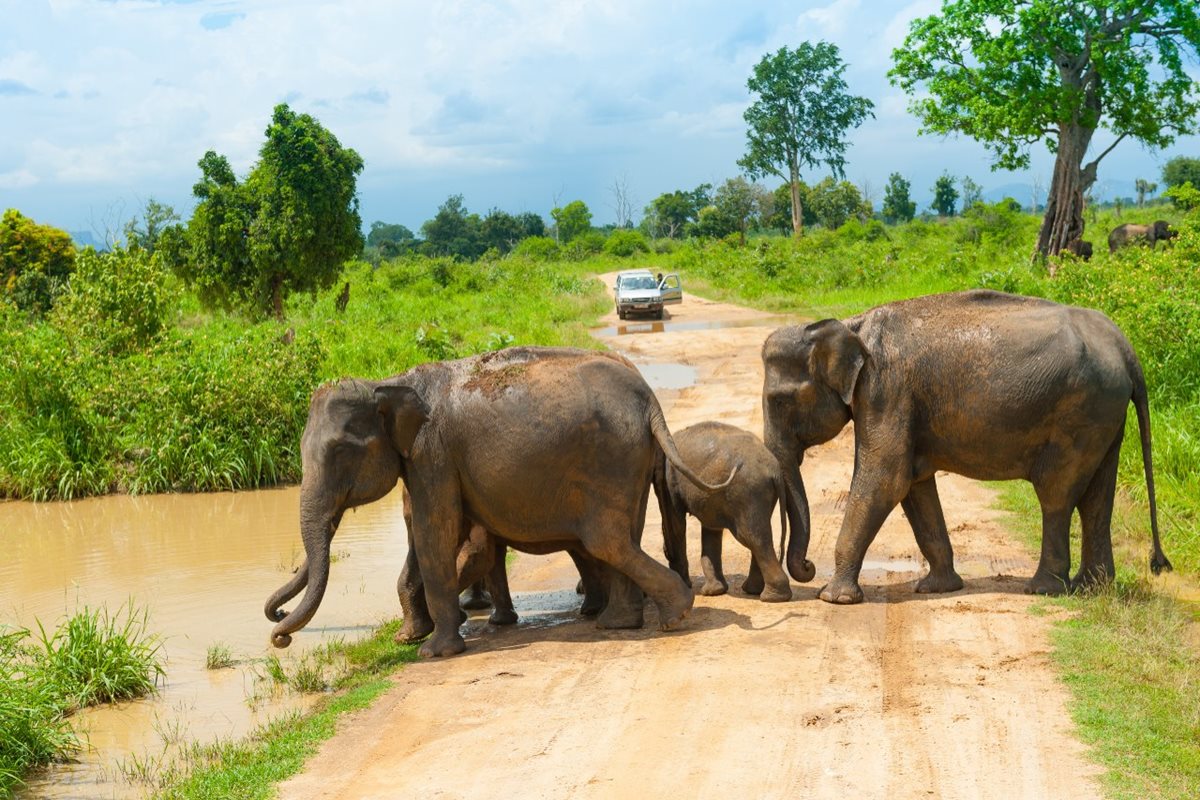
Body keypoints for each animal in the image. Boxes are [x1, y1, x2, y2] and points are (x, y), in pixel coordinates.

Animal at [265, 345, 729, 657]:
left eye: (340, 452)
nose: (280, 633)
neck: (390, 382)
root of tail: (649, 399)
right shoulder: (427, 461)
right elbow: (427, 533)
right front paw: (409, 638)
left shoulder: (433, 453)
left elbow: (436, 532)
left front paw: (434, 653)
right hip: (630, 460)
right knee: (620, 538)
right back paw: (620, 622)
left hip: (612, 458)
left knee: (606, 541)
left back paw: (673, 616)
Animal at [758, 291, 1171, 604]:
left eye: (779, 401)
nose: (808, 569)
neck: (849, 324)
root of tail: (1124, 346)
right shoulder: (898, 400)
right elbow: (914, 485)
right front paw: (936, 588)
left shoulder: (885, 390)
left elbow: (886, 479)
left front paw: (834, 599)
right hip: (1105, 413)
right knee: (1096, 498)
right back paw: (1092, 588)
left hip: (1079, 412)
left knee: (1056, 493)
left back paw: (1044, 589)